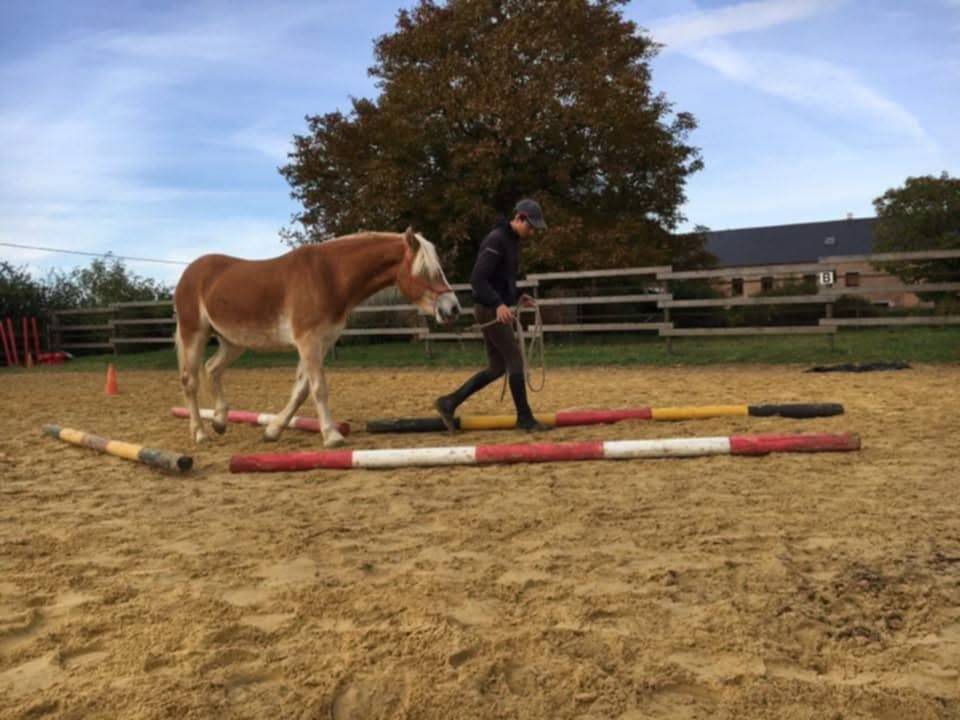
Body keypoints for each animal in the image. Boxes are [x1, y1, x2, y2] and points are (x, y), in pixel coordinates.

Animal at [173, 228, 460, 446]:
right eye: (426, 271)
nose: (452, 309)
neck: (329, 276)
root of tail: (189, 273)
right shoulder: (308, 341)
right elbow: (318, 388)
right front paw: (332, 436)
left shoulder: (321, 343)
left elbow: (301, 390)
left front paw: (272, 431)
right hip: (194, 333)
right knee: (190, 381)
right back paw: (199, 433)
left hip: (233, 342)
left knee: (212, 368)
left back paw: (220, 421)